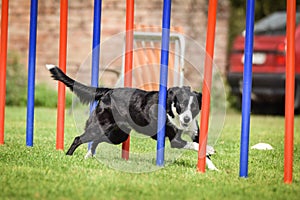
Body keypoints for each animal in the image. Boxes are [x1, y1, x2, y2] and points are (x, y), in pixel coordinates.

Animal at [45, 64, 217, 170]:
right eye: (181, 104)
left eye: (193, 107)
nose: (186, 119)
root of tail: (108, 91)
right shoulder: (175, 140)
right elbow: (194, 145)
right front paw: (210, 149)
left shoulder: (194, 133)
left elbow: (200, 147)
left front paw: (213, 169)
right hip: (100, 127)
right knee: (78, 138)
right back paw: (68, 157)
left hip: (117, 135)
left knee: (96, 141)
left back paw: (88, 156)